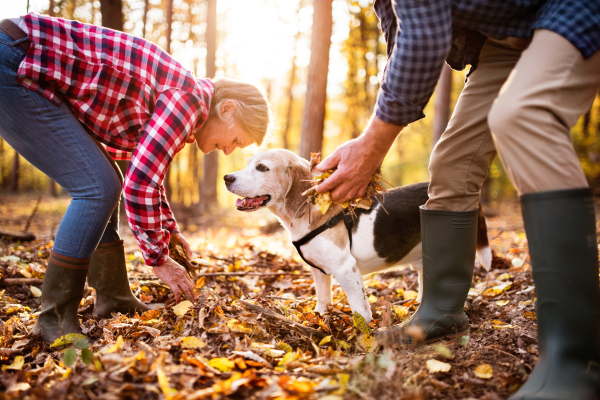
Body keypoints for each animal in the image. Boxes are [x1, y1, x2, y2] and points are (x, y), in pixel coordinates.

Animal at [223, 149, 490, 322]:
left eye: (262, 168)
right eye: (248, 163)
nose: (227, 177)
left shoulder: (346, 268)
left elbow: (359, 308)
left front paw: (361, 334)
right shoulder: (319, 271)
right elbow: (323, 299)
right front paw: (319, 319)